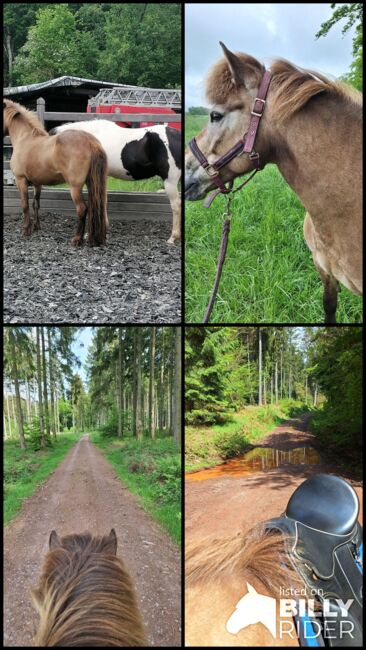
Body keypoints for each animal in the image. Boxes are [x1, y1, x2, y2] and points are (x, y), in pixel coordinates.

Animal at [3, 98, 107, 246]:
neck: (25, 139)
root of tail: (91, 142)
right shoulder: (37, 183)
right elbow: (36, 204)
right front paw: (36, 227)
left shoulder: (20, 180)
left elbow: (25, 205)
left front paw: (26, 230)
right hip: (92, 183)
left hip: (75, 187)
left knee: (82, 209)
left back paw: (77, 239)